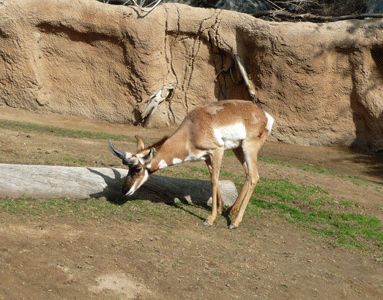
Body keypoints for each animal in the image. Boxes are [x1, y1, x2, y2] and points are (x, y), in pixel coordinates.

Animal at [109, 99, 274, 229]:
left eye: (137, 168)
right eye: (127, 167)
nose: (124, 190)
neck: (192, 130)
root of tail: (264, 115)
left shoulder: (217, 151)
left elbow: (214, 180)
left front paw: (210, 219)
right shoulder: (207, 158)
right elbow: (213, 179)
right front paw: (220, 210)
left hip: (248, 148)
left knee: (254, 177)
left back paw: (234, 222)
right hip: (238, 149)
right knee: (248, 174)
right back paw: (231, 210)